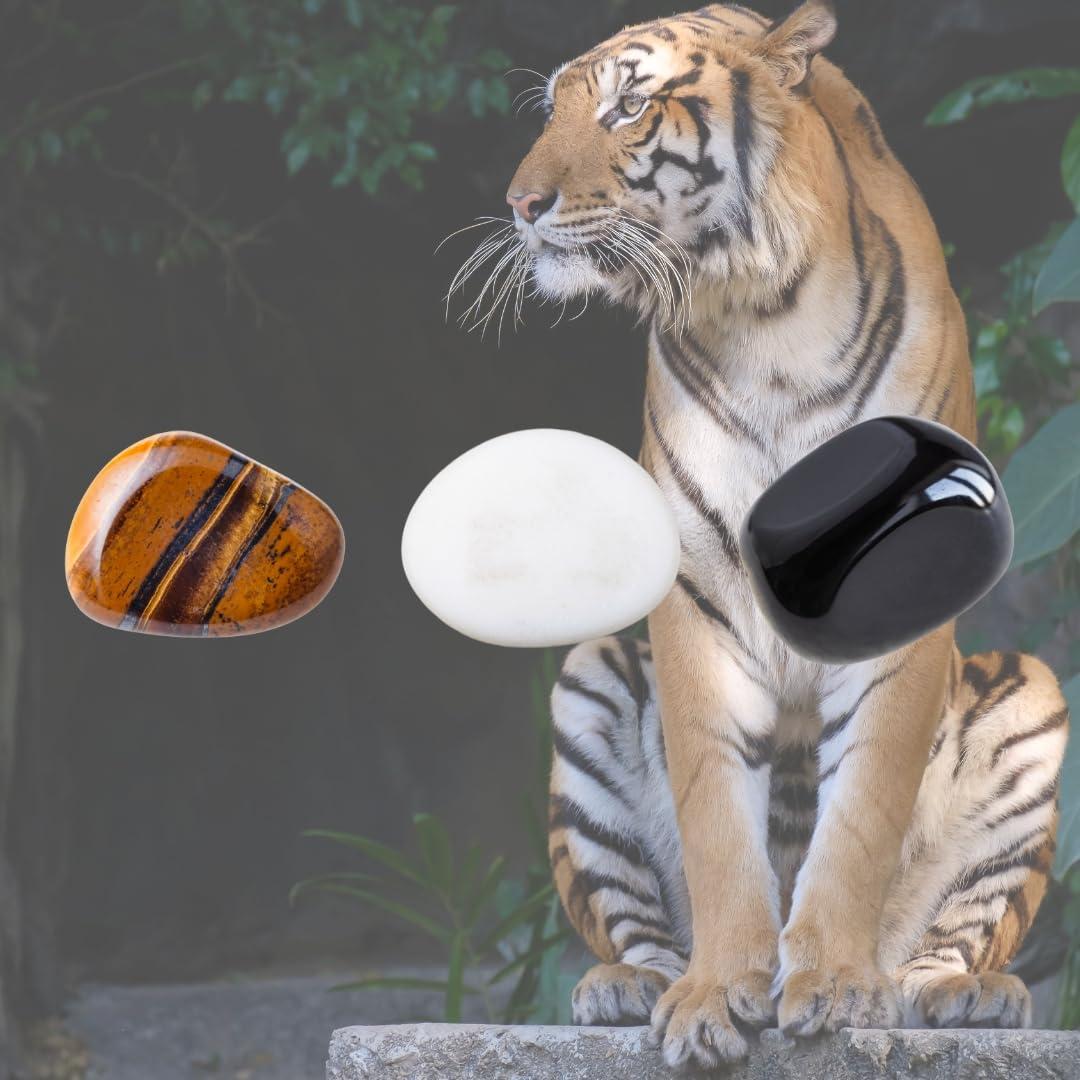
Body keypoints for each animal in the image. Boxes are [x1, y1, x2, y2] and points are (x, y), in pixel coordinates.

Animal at [468, 0, 1071, 1069]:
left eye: (629, 106)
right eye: (556, 109)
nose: (522, 203)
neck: (767, 318)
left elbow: (862, 809)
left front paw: (831, 985)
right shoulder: (696, 595)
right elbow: (716, 813)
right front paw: (715, 997)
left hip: (1029, 695)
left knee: (952, 940)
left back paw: (957, 996)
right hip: (590, 677)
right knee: (630, 922)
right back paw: (627, 988)